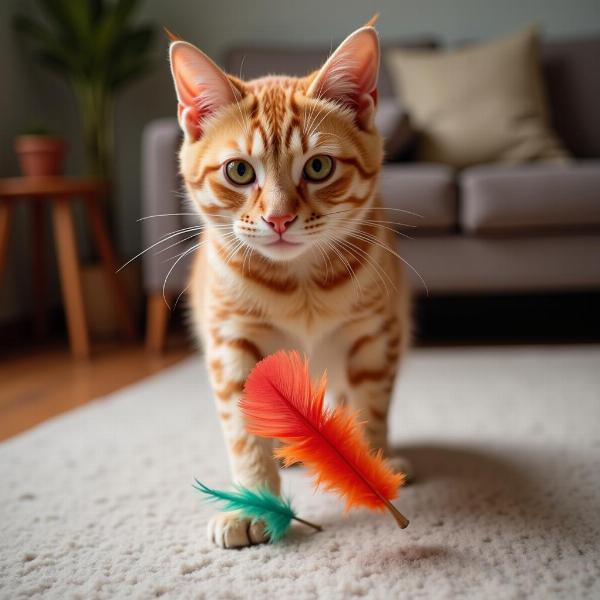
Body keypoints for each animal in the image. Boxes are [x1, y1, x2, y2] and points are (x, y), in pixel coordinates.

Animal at [169, 19, 412, 548]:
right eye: (239, 170)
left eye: (318, 166)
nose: (279, 218)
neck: (303, 288)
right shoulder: (232, 343)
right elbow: (245, 433)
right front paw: (253, 503)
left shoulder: (374, 336)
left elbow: (373, 407)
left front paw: (367, 471)